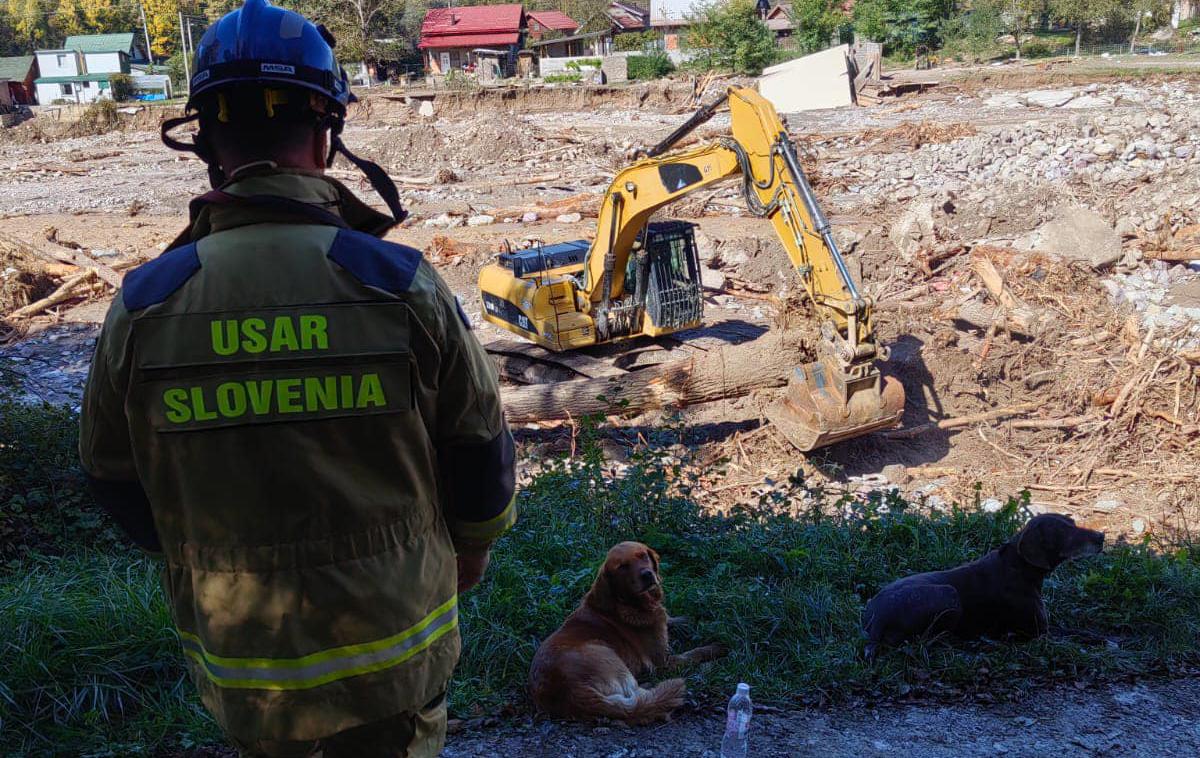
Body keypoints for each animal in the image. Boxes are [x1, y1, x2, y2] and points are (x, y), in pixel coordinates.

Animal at [532, 544, 720, 724]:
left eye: (643, 556)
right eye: (622, 566)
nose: (647, 574)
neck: (629, 603)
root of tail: (572, 692)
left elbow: (671, 620)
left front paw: (689, 620)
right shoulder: (662, 661)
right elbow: (693, 654)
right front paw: (715, 648)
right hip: (605, 652)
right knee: (639, 697)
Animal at [864, 515, 1104, 657]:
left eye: (1073, 523)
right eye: (1064, 531)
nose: (1101, 536)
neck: (1019, 566)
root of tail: (877, 620)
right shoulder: (1038, 633)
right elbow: (1069, 636)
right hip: (949, 595)